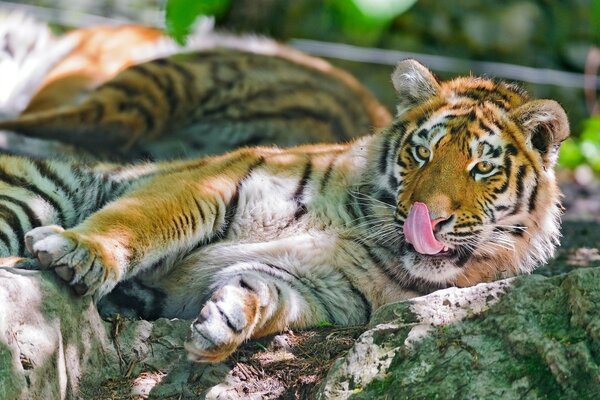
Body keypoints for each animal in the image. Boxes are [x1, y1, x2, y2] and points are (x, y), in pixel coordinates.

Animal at [0, 59, 568, 362]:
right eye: (422, 153)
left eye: (482, 168)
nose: (430, 218)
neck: (362, 229)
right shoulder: (212, 184)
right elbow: (137, 220)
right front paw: (80, 250)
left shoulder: (320, 289)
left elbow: (264, 294)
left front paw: (224, 322)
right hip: (46, 186)